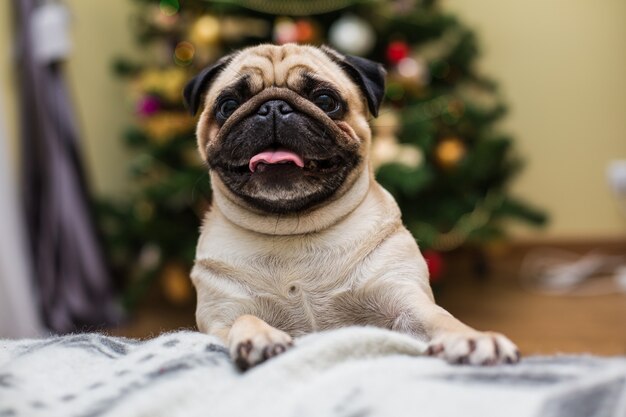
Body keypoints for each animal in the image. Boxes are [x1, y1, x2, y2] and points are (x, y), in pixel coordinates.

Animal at [182, 43, 516, 370]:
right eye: (227, 106)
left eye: (325, 100)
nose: (273, 107)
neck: (292, 226)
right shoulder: (222, 316)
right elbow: (244, 318)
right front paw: (259, 337)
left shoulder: (404, 300)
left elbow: (442, 319)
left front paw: (473, 339)